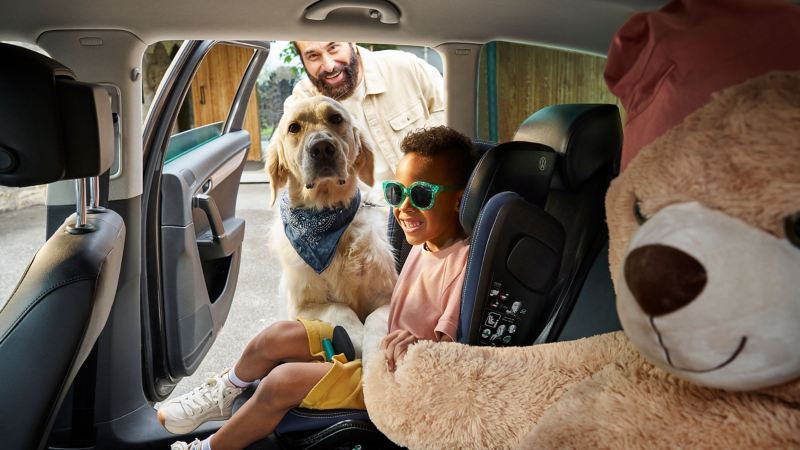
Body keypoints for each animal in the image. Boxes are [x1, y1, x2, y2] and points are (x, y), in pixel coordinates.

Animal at [266, 96, 396, 356]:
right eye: (294, 127)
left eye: (336, 118)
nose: (322, 148)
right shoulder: (303, 306)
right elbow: (340, 309)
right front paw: (355, 338)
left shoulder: (388, 296)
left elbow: (376, 321)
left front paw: (375, 356)